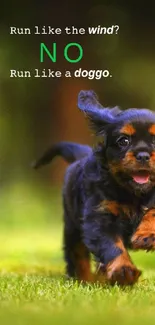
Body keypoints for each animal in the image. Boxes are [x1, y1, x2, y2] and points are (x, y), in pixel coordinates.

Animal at [33, 90, 155, 284]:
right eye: (123, 141)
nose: (143, 155)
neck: (134, 193)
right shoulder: (99, 217)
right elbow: (112, 245)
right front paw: (123, 271)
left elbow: (152, 211)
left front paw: (147, 235)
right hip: (73, 227)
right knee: (77, 255)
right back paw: (85, 280)